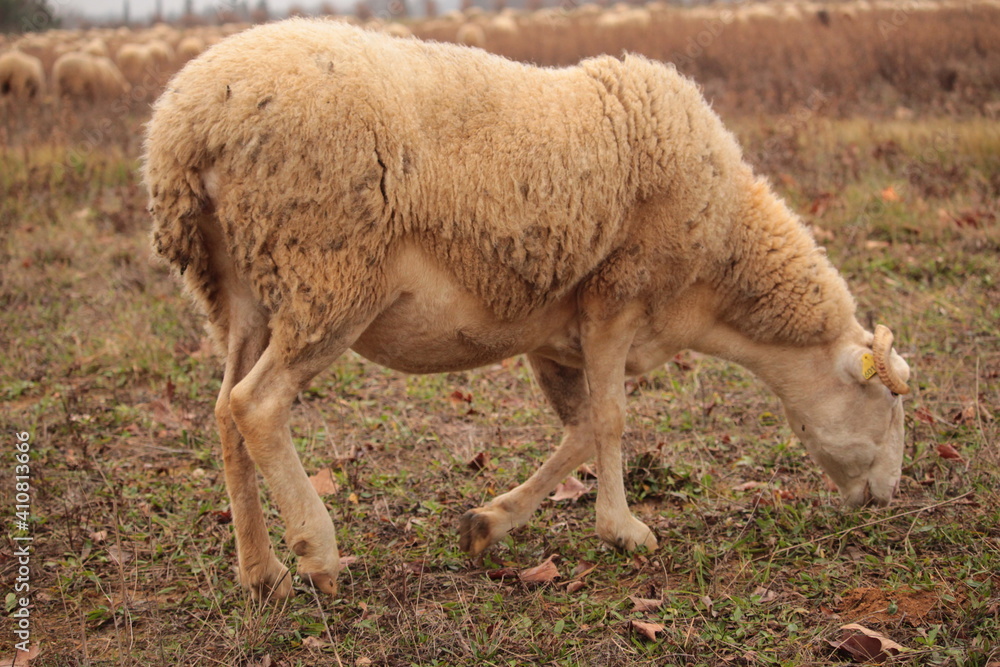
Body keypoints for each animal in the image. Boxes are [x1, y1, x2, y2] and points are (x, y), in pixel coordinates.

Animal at [144, 18, 911, 602]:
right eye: (887, 404)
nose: (887, 497)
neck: (720, 267)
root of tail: (190, 123)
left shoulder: (555, 334)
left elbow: (579, 429)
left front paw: (488, 522)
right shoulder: (617, 296)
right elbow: (612, 420)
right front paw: (624, 530)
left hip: (238, 287)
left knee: (224, 410)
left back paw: (261, 571)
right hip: (329, 273)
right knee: (258, 405)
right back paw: (317, 550)